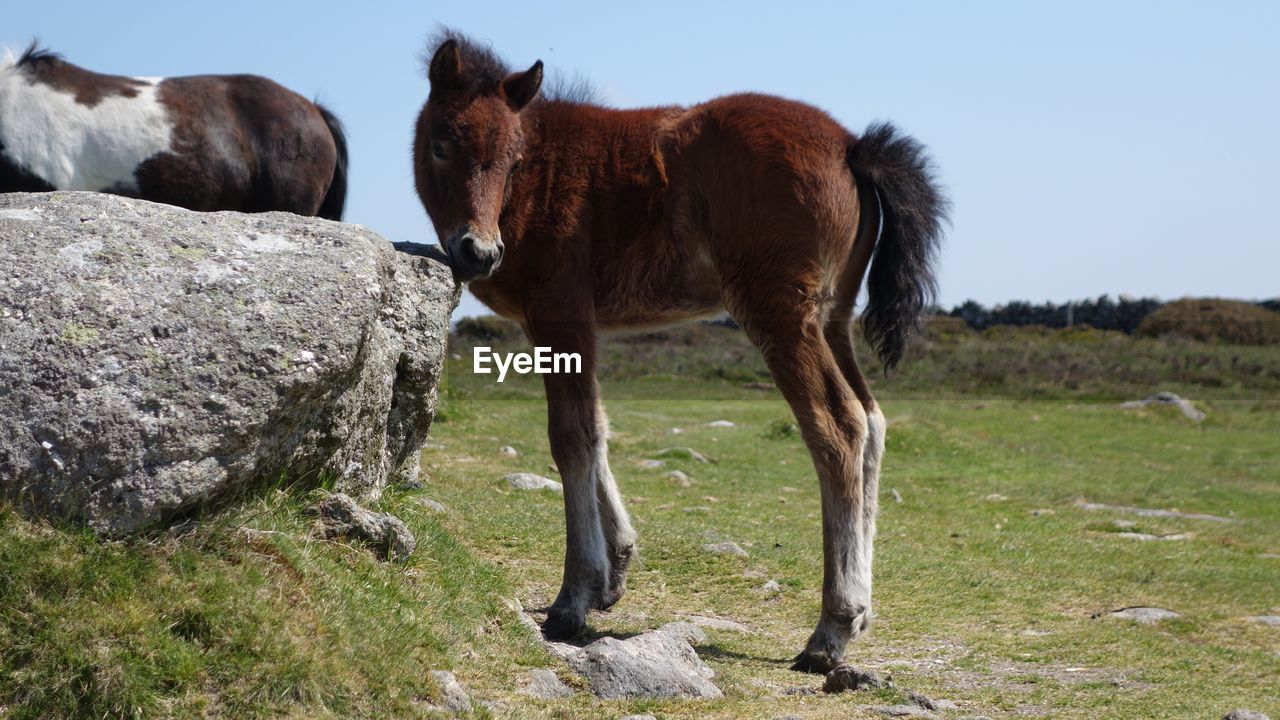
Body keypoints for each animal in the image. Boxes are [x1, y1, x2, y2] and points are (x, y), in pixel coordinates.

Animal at [414, 30, 947, 671]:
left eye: (516, 161)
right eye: (441, 146)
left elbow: (571, 437)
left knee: (837, 426)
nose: (479, 252)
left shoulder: (560, 310)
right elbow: (596, 428)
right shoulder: (577, 325)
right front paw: (614, 571)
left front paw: (573, 598)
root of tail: (851, 145)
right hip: (834, 319)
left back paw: (831, 629)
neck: (546, 175)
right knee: (872, 421)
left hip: (778, 311)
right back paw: (861, 612)